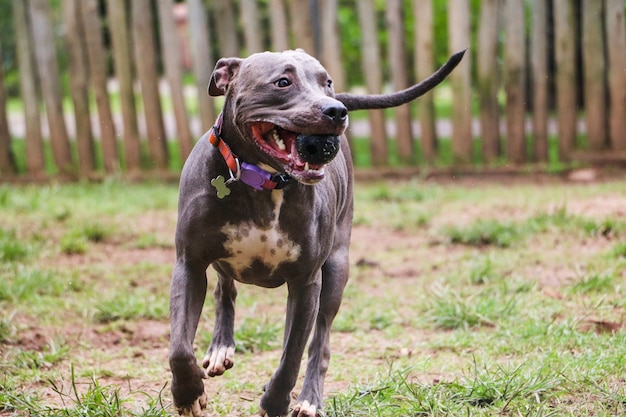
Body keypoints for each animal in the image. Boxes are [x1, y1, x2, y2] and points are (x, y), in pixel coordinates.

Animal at [168, 48, 460, 416]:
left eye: (327, 82)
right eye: (282, 82)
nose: (336, 110)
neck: (262, 181)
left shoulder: (306, 282)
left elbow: (293, 355)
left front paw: (275, 401)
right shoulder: (189, 265)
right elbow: (179, 348)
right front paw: (188, 393)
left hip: (335, 271)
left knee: (319, 342)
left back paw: (308, 397)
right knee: (225, 289)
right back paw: (222, 347)